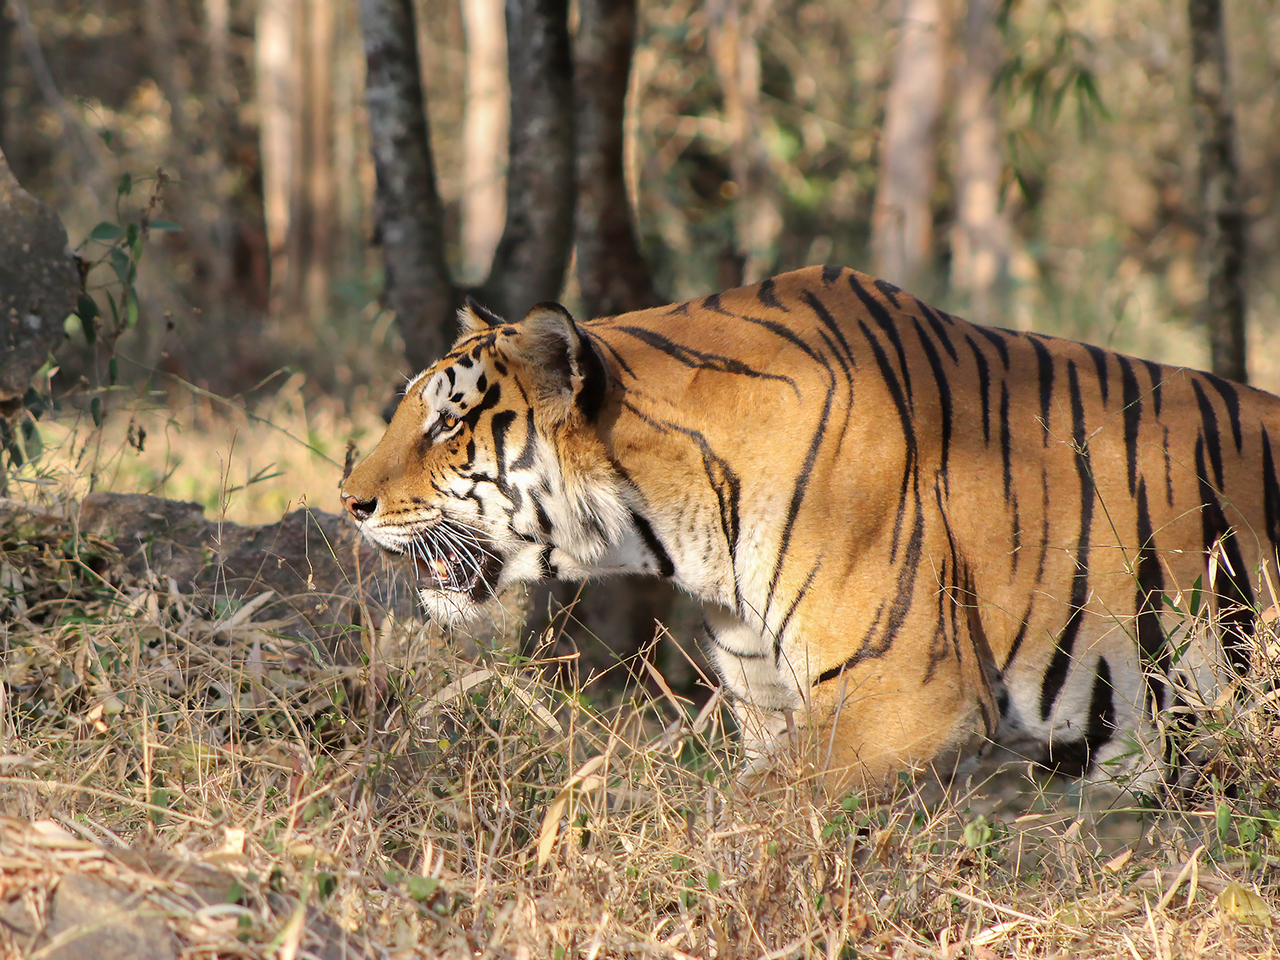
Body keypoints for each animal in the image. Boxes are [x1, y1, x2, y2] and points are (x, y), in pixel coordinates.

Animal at [340, 265, 1280, 795]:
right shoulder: (770, 706)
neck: (678, 532)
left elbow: (742, 818)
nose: (349, 501)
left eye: (448, 425)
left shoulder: (905, 696)